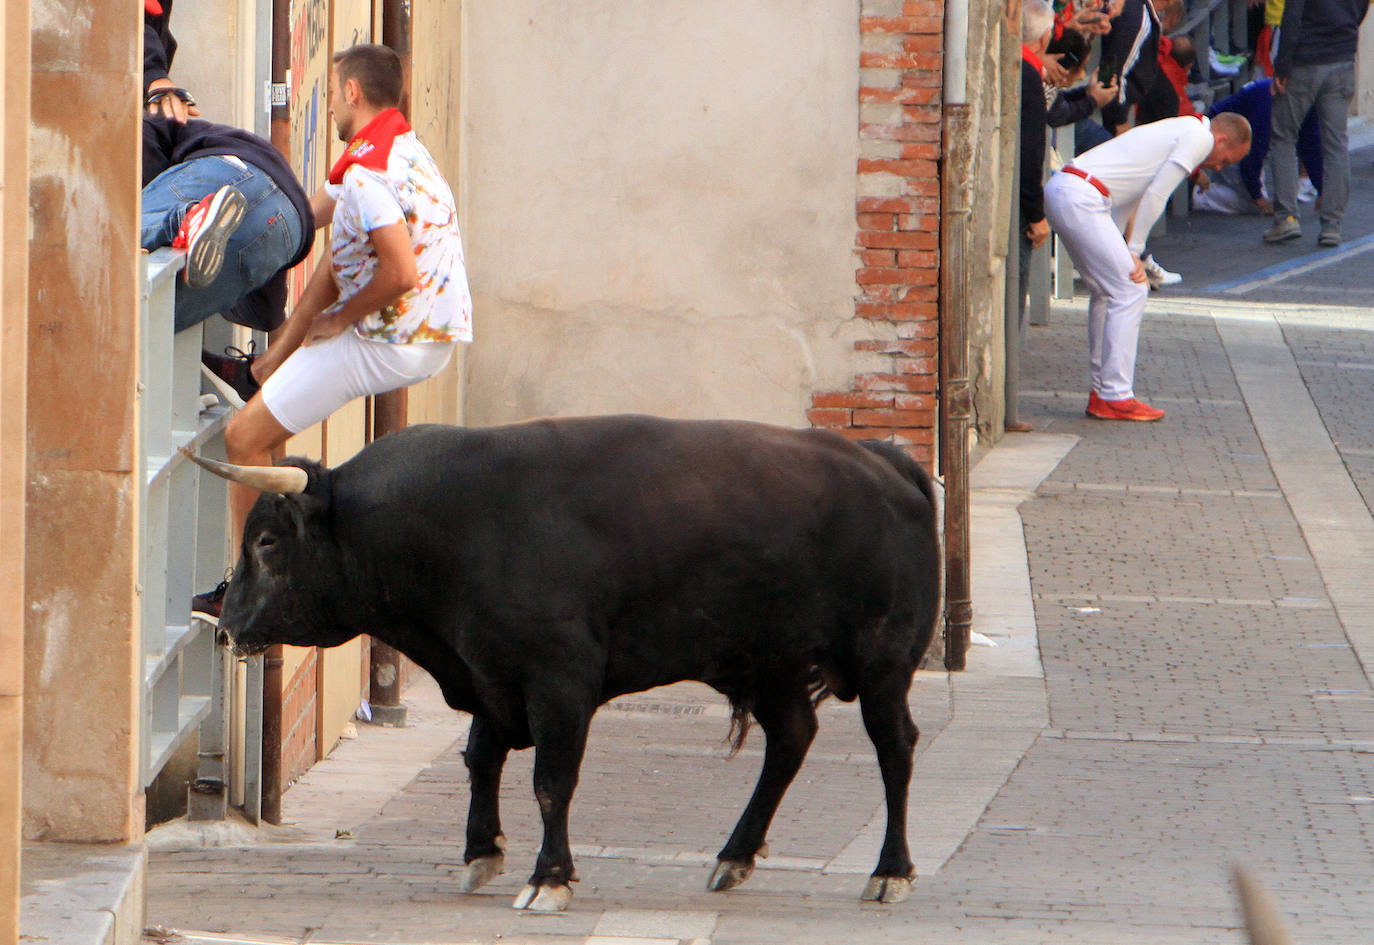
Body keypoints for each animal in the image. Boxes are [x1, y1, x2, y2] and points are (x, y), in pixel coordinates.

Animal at [196, 417, 945, 912]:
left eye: (267, 541)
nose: (227, 627)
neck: (450, 521)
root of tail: (883, 460)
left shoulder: (558, 682)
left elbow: (552, 780)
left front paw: (548, 876)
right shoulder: (491, 675)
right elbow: (482, 759)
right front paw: (481, 853)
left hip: (880, 663)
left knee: (896, 748)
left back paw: (891, 869)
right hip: (771, 664)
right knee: (790, 739)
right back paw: (733, 857)